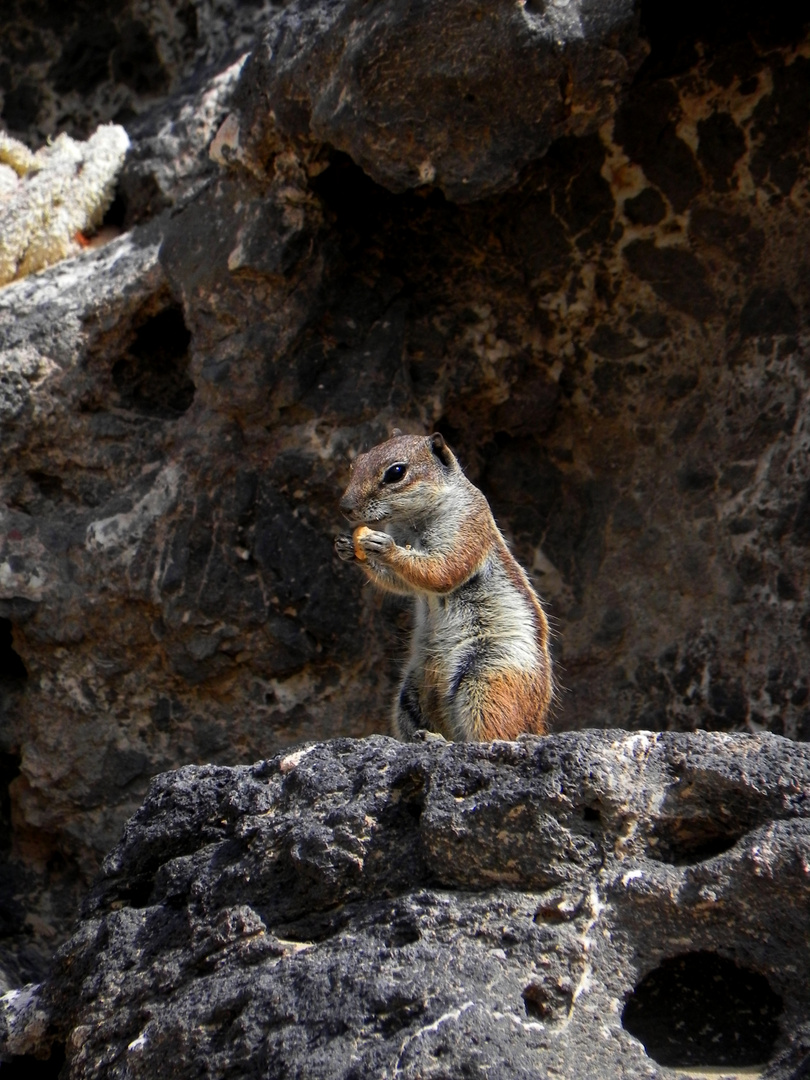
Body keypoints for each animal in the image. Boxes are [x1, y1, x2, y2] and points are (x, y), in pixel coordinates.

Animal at [332, 432, 557, 743]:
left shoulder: (466, 525)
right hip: (409, 694)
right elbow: (402, 583)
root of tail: (537, 723)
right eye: (356, 464)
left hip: (489, 680)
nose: (345, 508)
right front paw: (347, 548)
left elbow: (442, 570)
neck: (413, 522)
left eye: (396, 472)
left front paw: (384, 547)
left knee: (496, 734)